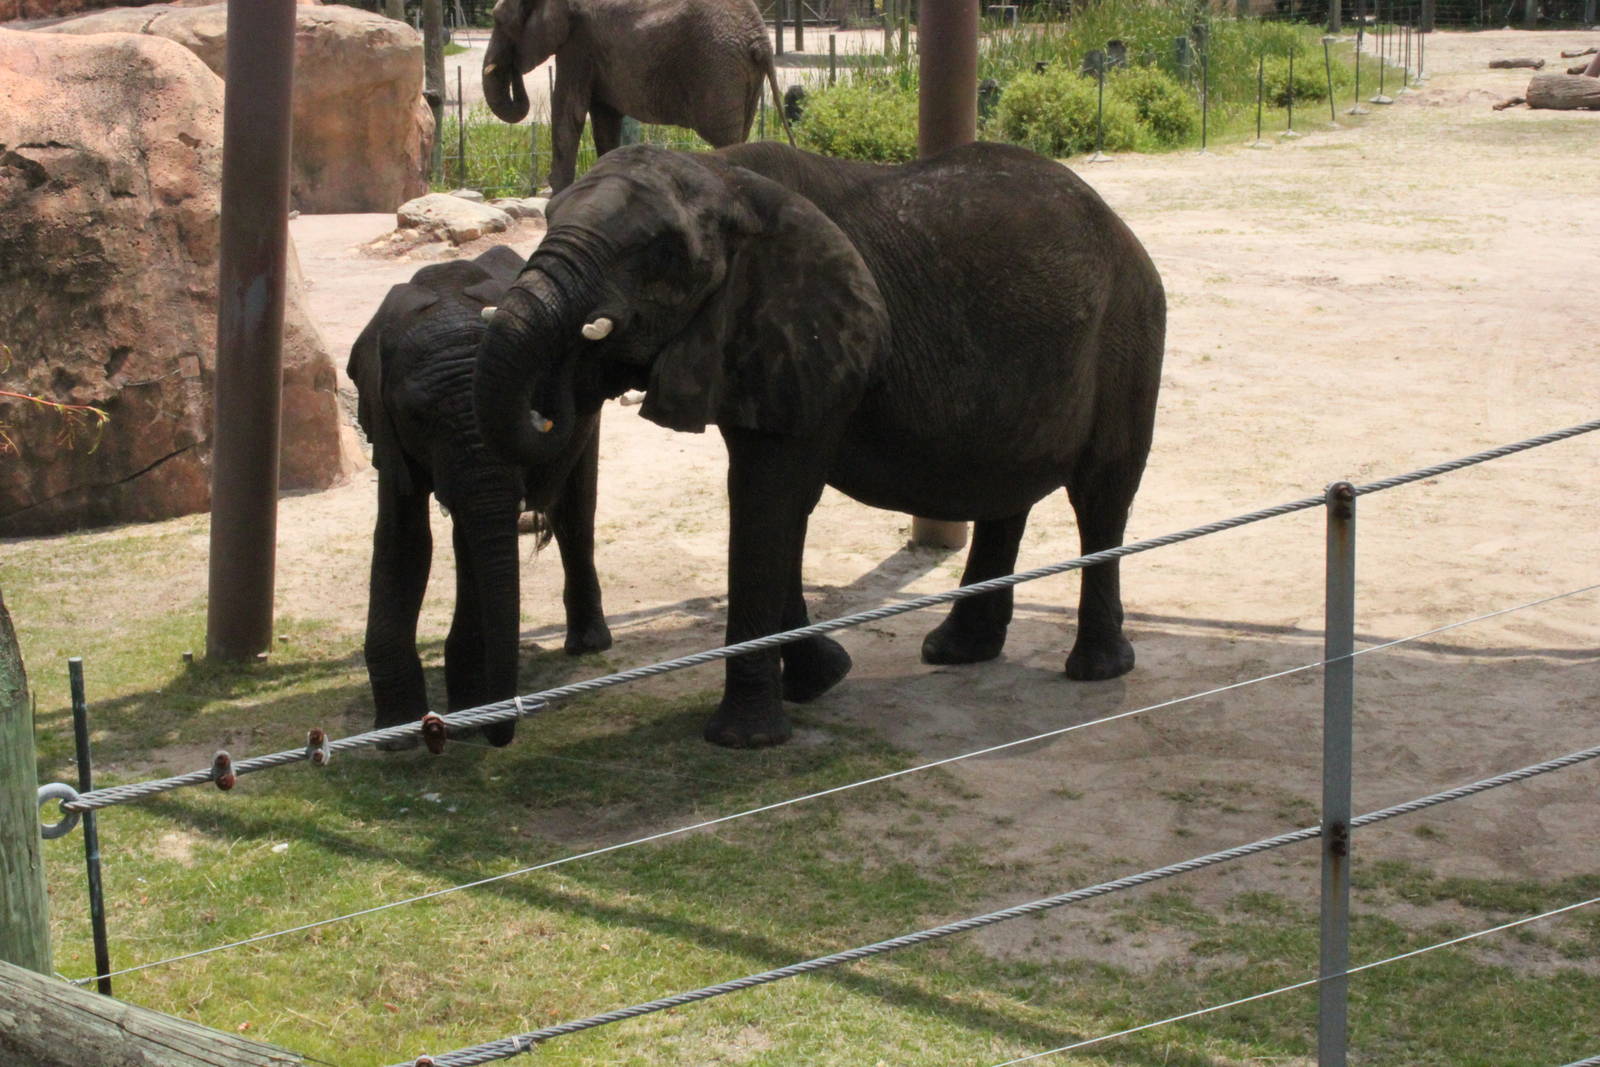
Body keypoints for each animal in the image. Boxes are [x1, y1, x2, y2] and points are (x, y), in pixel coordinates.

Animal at [348, 244, 612, 747]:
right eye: (416, 415)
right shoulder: (388, 431)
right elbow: (403, 540)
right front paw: (396, 733)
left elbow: (470, 543)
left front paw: (469, 714)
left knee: (575, 511)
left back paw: (589, 644)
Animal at [473, 141, 1165, 749]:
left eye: (659, 253)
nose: (572, 375)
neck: (721, 172)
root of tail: (1118, 223)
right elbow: (776, 505)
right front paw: (822, 679)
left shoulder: (804, 329)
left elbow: (768, 499)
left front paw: (746, 739)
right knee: (1006, 494)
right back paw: (956, 652)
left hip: (1130, 327)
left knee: (1102, 492)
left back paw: (1097, 669)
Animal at [481, 0, 787, 194]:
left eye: (498, 19)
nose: (510, 66)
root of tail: (761, 39)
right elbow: (604, 118)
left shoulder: (579, 41)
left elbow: (569, 110)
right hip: (742, 73)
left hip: (718, 66)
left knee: (727, 140)